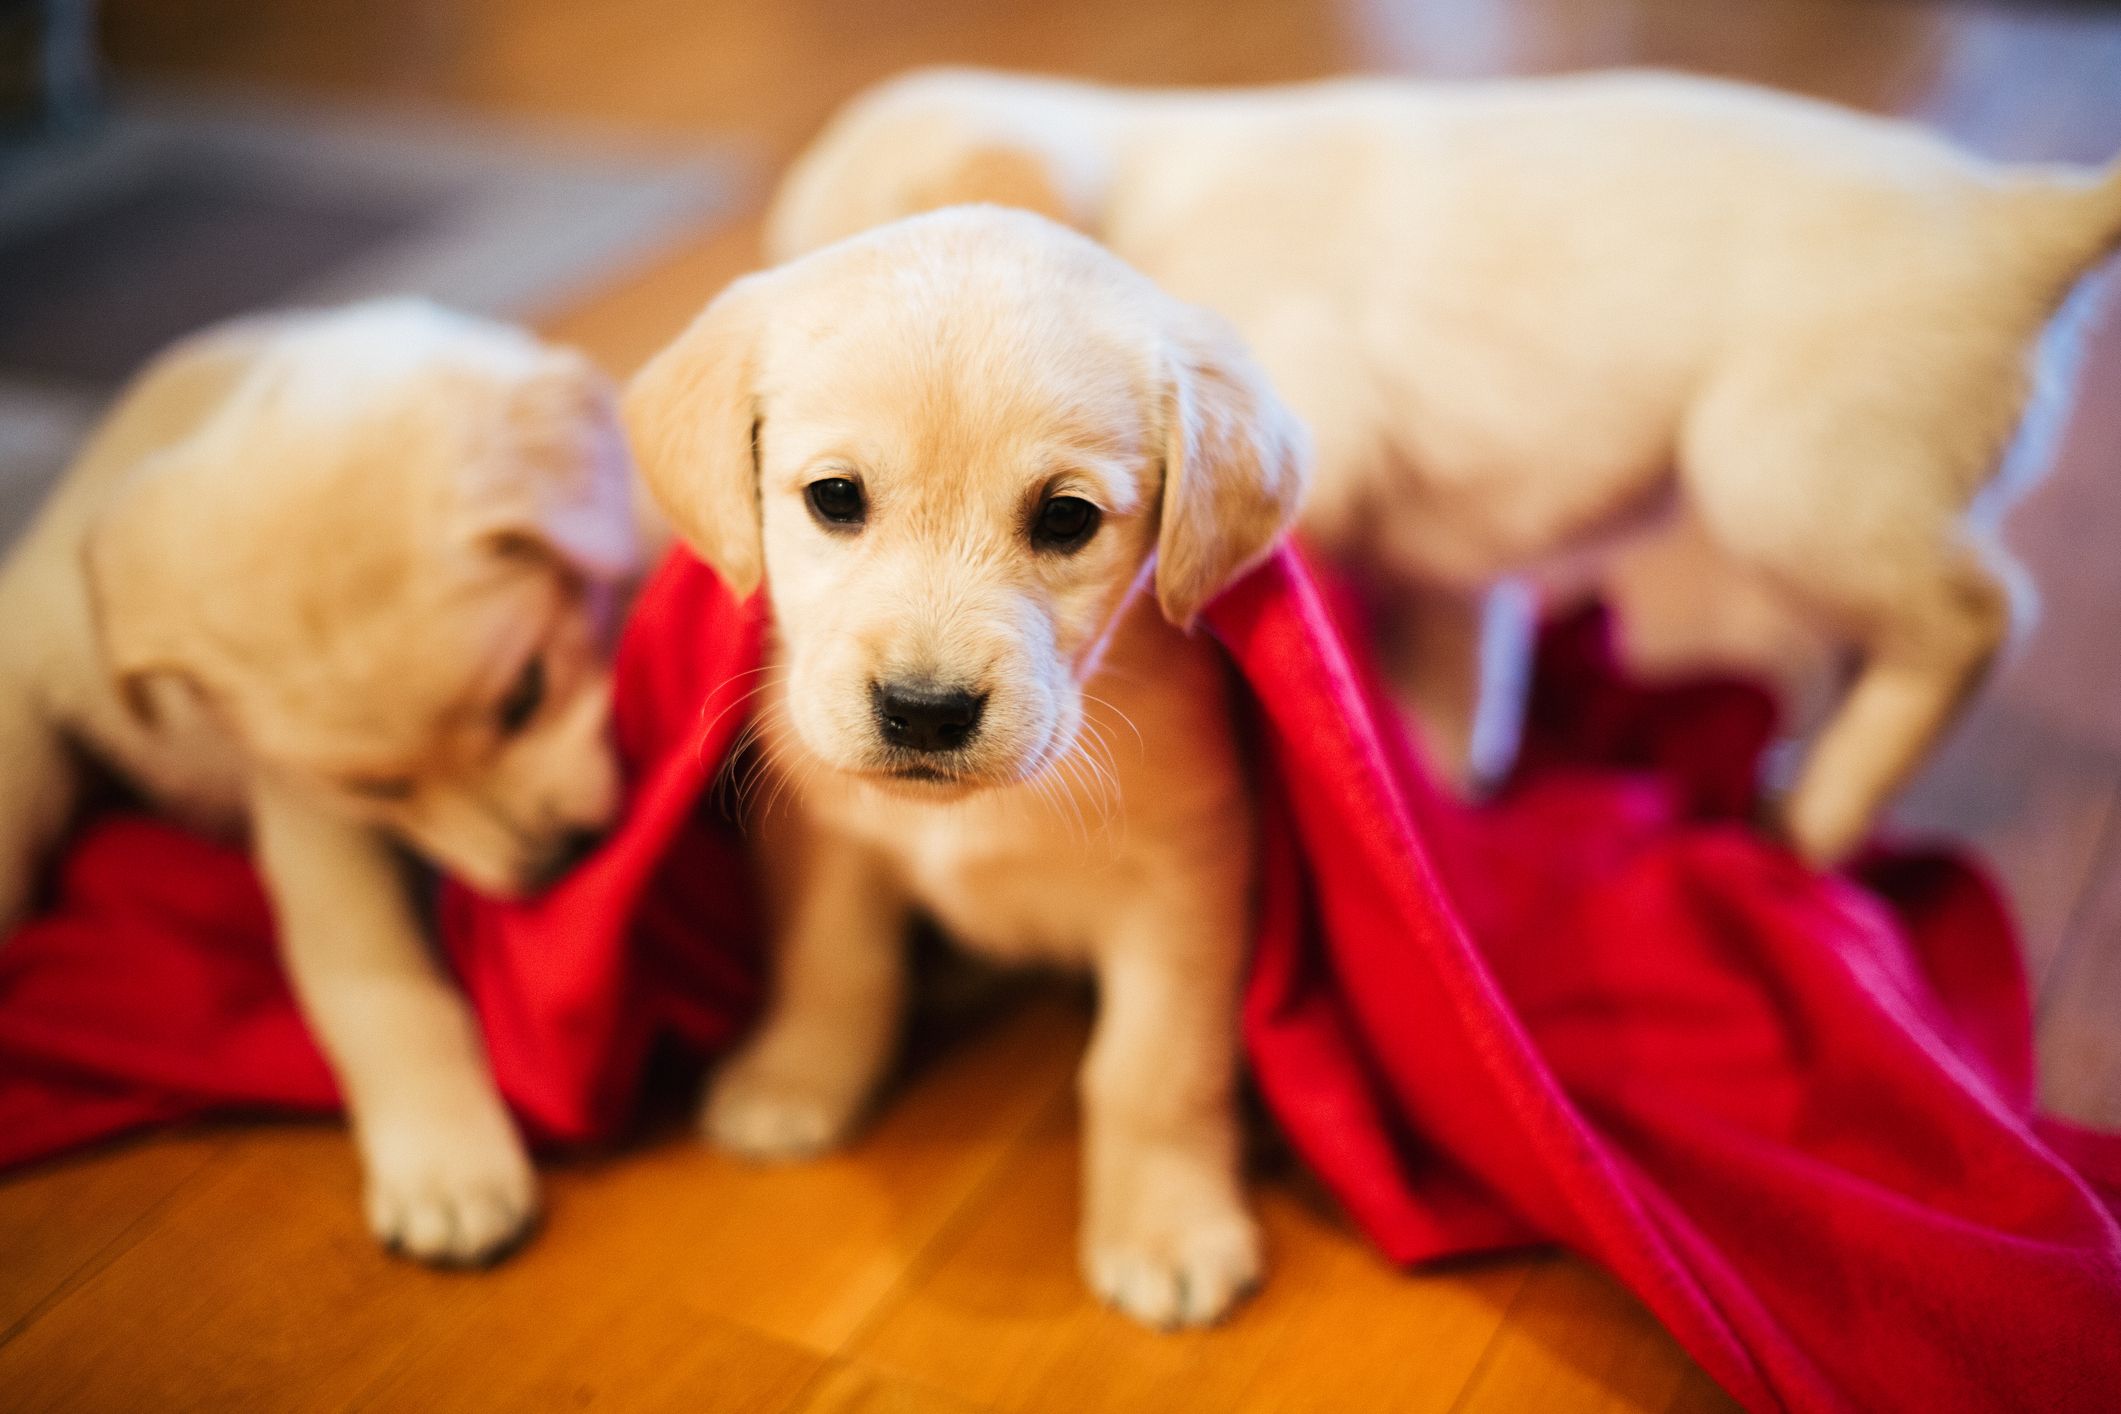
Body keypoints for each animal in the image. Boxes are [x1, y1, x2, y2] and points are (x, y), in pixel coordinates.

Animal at [2, 301, 644, 1271]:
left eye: (524, 695)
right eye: (376, 790)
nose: (551, 863)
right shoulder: (312, 823)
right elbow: (385, 990)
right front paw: (446, 1170)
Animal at [619, 209, 1306, 1331]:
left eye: (1066, 518)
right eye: (834, 497)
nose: (925, 711)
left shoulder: (1187, 879)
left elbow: (1153, 1067)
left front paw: (1167, 1223)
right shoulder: (825, 837)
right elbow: (833, 964)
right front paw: (795, 1076)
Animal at [772, 68, 2121, 864]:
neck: (1138, 202)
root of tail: (2017, 217)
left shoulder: (1304, 422)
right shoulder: (1440, 560)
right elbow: (1452, 673)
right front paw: (1430, 791)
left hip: (1785, 475)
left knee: (1976, 617)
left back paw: (1825, 816)